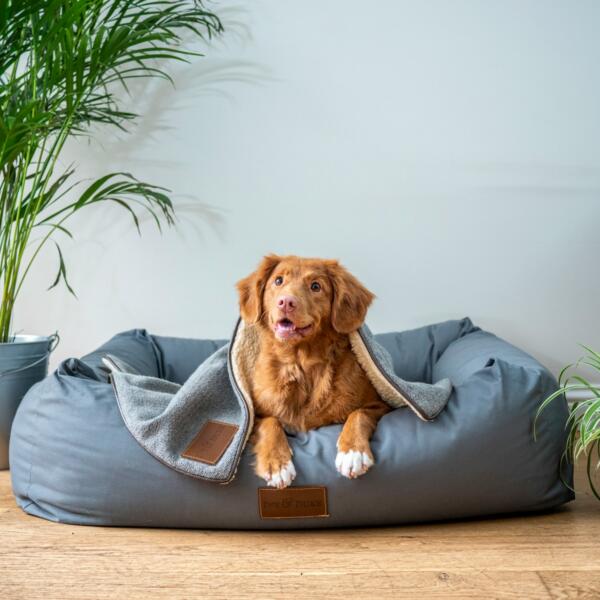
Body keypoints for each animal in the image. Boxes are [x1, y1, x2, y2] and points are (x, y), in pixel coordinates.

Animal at [234, 253, 390, 488]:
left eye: (316, 286)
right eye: (278, 281)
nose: (286, 302)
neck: (301, 363)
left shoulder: (380, 404)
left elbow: (359, 414)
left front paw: (353, 452)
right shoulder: (254, 415)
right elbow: (270, 422)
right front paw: (277, 463)